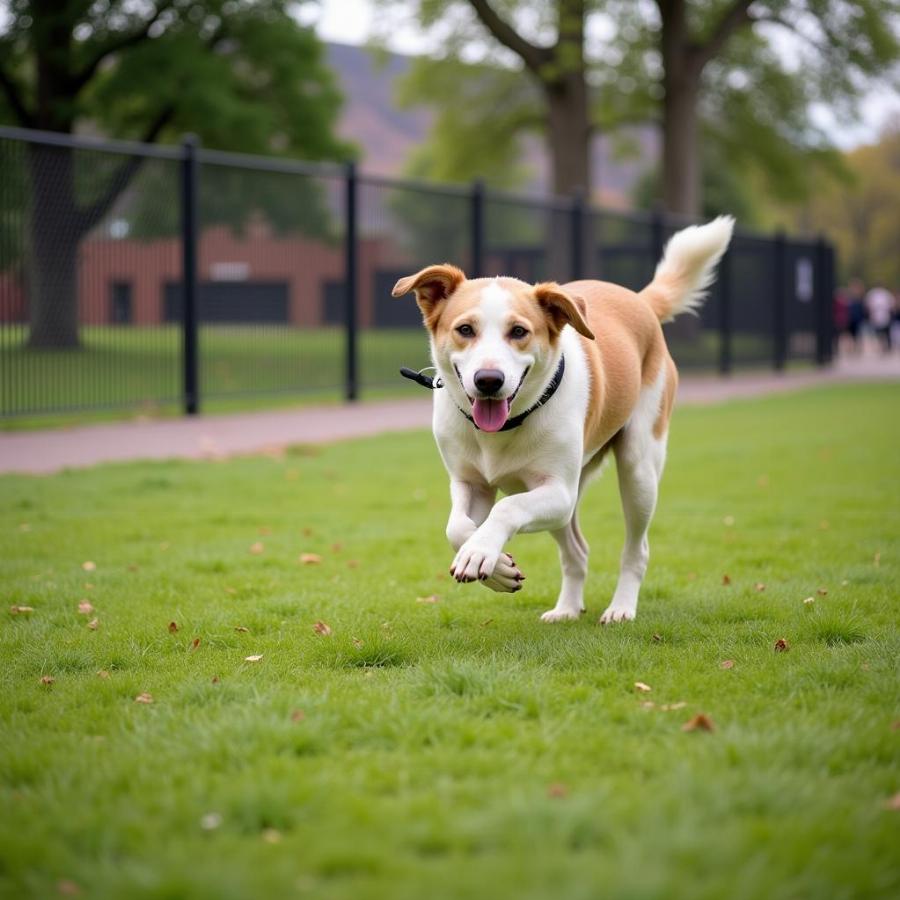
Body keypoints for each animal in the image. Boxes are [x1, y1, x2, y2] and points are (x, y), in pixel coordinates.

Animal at [392, 219, 732, 624]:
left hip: (638, 470)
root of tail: (639, 300)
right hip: (568, 499)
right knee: (576, 551)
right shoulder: (470, 483)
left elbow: (507, 508)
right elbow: (457, 527)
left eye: (519, 332)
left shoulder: (558, 492)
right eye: (465, 330)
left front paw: (483, 554)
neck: (505, 428)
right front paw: (496, 566)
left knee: (637, 548)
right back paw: (567, 608)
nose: (488, 380)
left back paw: (621, 607)